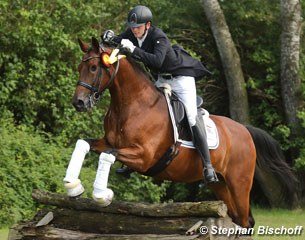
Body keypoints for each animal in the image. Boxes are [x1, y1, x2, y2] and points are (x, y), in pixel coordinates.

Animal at [68, 36, 292, 228]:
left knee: (246, 221)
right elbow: (84, 143)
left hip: (239, 183)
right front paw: (73, 186)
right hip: (221, 186)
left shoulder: (143, 157)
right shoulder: (108, 142)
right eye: (79, 68)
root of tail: (244, 130)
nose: (78, 103)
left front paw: (101, 194)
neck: (130, 104)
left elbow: (107, 155)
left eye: (94, 68)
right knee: (237, 218)